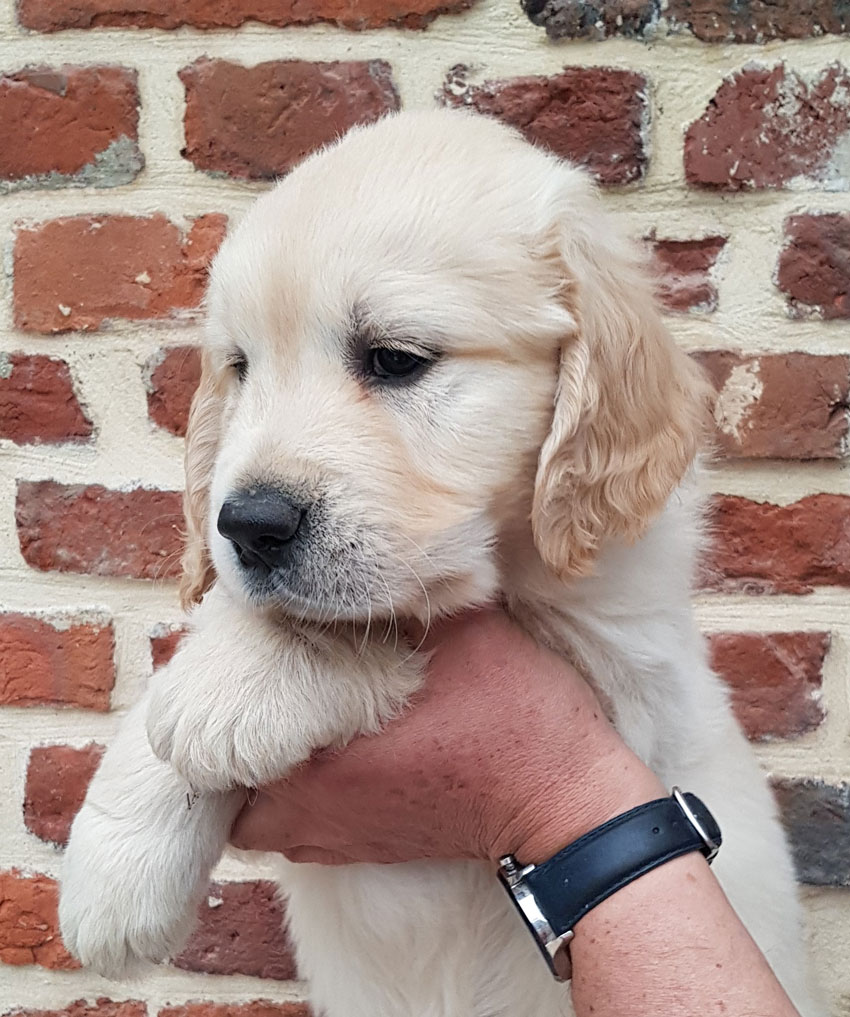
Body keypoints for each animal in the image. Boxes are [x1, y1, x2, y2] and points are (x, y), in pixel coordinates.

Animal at [58, 111, 821, 1016]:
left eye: (395, 358)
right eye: (240, 367)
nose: (248, 524)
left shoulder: (625, 664)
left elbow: (388, 620)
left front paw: (239, 686)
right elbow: (228, 627)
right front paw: (114, 870)